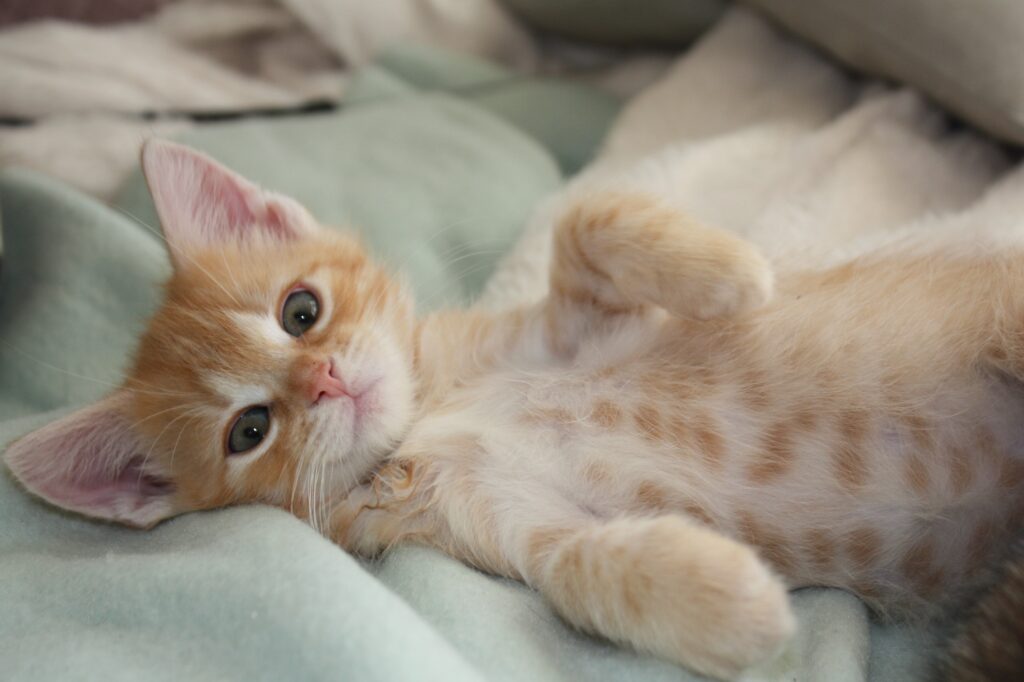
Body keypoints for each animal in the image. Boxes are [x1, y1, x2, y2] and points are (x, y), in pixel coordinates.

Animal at [6, 140, 1024, 680]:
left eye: (301, 310)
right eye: (249, 430)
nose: (327, 381)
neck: (434, 407)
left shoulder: (583, 324)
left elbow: (588, 219)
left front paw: (734, 272)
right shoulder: (503, 526)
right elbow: (581, 570)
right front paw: (737, 604)